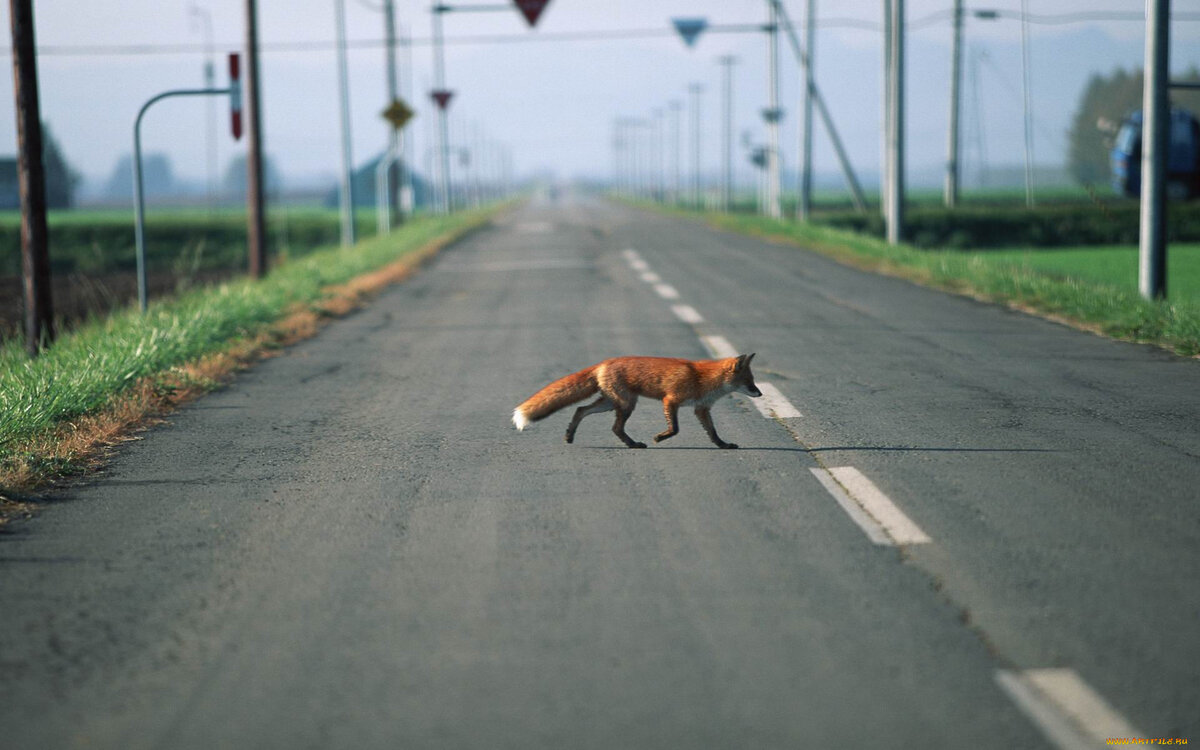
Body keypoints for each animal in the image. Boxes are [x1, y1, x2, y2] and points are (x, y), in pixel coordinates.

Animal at [513, 352, 758, 446]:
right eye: (749, 382)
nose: (760, 393)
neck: (703, 379)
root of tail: (603, 362)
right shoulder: (670, 400)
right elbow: (675, 428)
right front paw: (659, 438)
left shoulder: (701, 409)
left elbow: (713, 432)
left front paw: (723, 445)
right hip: (626, 404)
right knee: (615, 428)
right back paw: (633, 444)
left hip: (611, 403)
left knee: (580, 410)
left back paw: (569, 435)